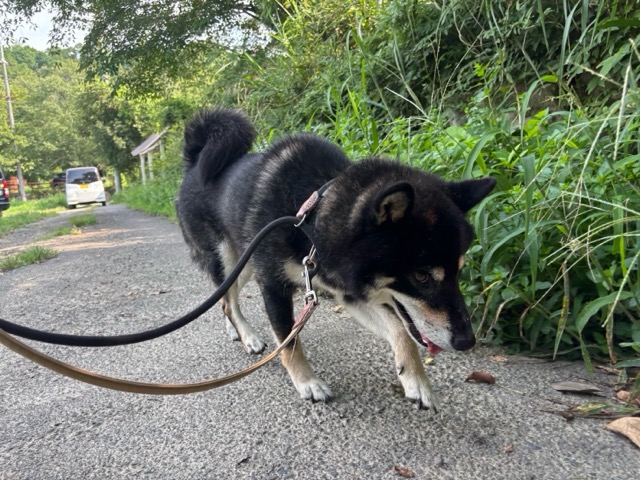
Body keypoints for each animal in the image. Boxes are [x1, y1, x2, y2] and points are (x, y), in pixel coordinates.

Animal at [176, 108, 496, 411]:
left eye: (458, 271)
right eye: (422, 276)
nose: (467, 341)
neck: (310, 219)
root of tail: (194, 162)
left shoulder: (349, 292)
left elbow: (401, 332)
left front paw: (416, 382)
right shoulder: (273, 285)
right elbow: (289, 342)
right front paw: (307, 382)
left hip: (242, 266)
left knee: (223, 300)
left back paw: (236, 332)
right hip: (230, 260)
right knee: (228, 301)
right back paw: (248, 337)